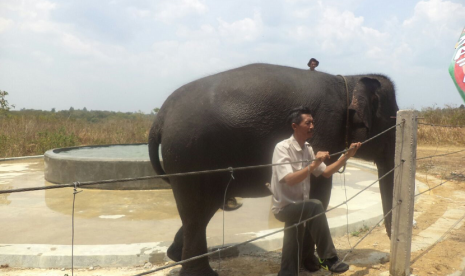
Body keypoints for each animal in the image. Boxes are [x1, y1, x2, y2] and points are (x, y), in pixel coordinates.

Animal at [150, 63, 398, 276]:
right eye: (393, 120)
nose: (389, 252)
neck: (348, 80)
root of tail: (160, 117)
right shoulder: (326, 127)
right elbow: (320, 195)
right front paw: (313, 266)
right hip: (191, 157)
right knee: (198, 210)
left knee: (202, 210)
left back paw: (175, 255)